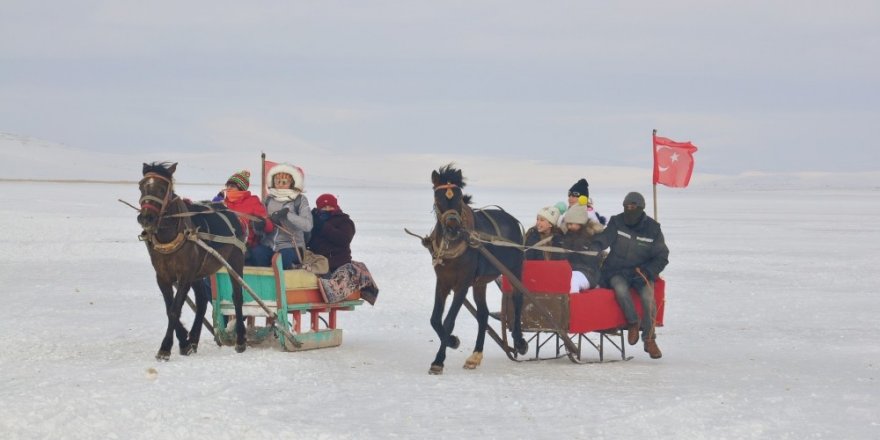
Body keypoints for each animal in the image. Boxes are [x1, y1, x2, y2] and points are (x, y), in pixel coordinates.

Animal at [138, 162, 249, 360]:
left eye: (163, 188)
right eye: (141, 186)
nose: (146, 218)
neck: (170, 236)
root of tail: (229, 212)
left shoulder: (185, 275)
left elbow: (174, 309)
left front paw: (166, 348)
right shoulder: (163, 277)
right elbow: (170, 309)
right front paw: (184, 341)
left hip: (235, 260)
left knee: (237, 297)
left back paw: (241, 340)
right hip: (199, 273)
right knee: (203, 301)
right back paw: (194, 339)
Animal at [428, 165, 528, 374]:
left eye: (459, 197)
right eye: (438, 197)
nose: (453, 228)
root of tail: (512, 219)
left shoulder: (462, 284)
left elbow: (448, 321)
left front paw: (439, 360)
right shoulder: (442, 282)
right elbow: (435, 319)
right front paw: (452, 341)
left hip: (514, 269)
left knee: (518, 299)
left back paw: (519, 342)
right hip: (480, 282)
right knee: (483, 314)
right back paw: (475, 356)